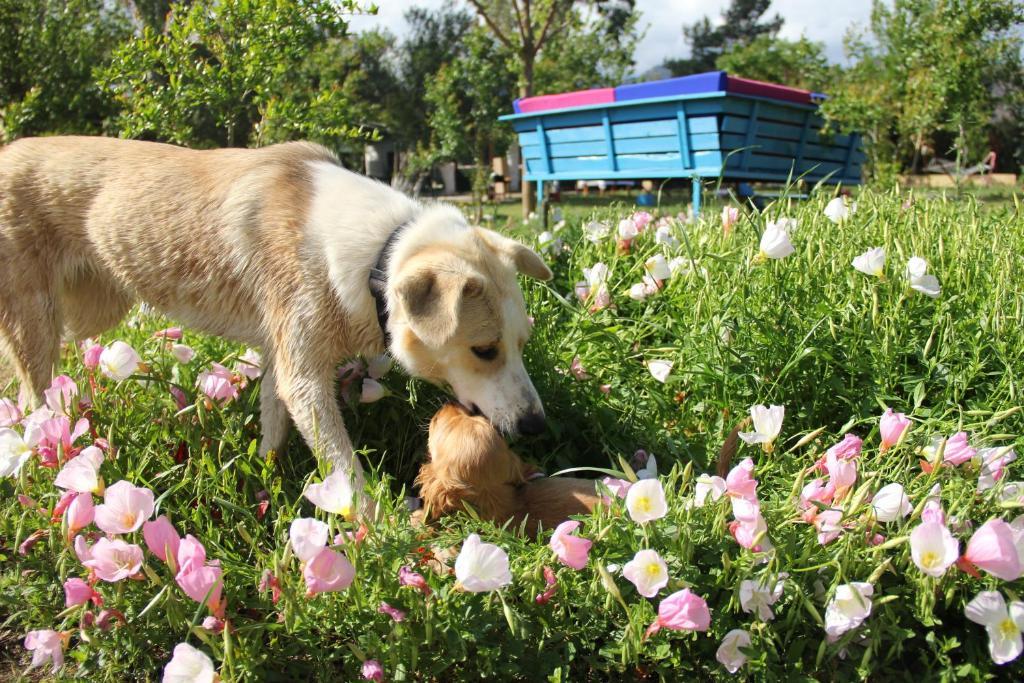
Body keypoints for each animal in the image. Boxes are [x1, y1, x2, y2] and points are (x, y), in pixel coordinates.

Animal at [0, 136, 552, 483]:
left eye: (521, 344)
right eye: (484, 350)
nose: (537, 428)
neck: (375, 258)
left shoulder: (280, 361)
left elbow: (272, 427)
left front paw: (267, 481)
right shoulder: (305, 378)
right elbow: (347, 472)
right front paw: (377, 532)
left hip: (90, 313)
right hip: (39, 326)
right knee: (29, 400)